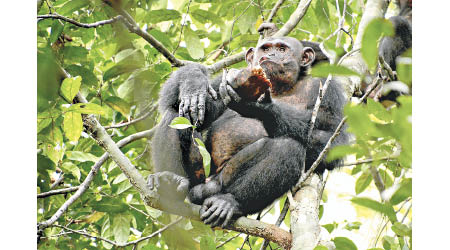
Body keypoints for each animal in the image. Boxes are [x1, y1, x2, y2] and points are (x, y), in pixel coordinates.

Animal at [149, 35, 348, 229]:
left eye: (282, 49)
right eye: (266, 48)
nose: (271, 55)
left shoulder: (328, 88)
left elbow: (333, 138)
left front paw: (259, 108)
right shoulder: (224, 81)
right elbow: (180, 104)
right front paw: (193, 83)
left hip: (220, 182)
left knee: (288, 147)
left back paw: (228, 202)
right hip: (199, 176)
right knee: (175, 116)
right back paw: (170, 181)